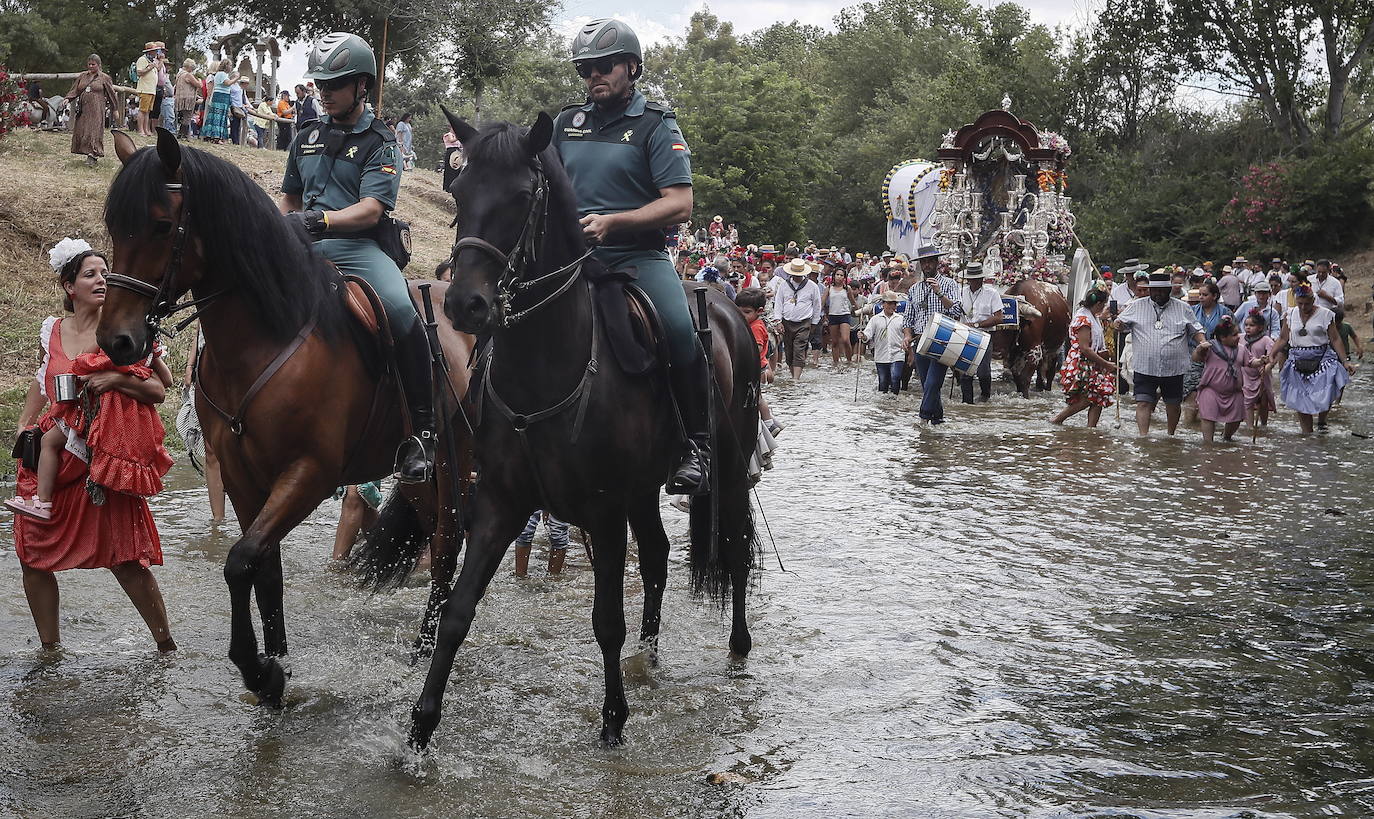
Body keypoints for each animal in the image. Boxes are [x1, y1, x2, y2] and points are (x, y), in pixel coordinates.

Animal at [95, 131, 472, 709]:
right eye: (115, 225)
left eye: (160, 224)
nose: (116, 341)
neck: (264, 340)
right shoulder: (242, 474)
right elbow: (263, 569)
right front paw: (276, 668)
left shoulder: (309, 473)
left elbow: (240, 560)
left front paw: (258, 669)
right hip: (416, 479)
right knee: (435, 537)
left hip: (456, 465)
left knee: (448, 547)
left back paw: (423, 655)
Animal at [359, 111, 758, 753]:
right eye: (458, 191)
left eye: (523, 197)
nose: (466, 305)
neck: (547, 369)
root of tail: (724, 306)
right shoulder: (500, 502)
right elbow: (458, 610)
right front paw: (420, 727)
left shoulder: (603, 509)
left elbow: (606, 622)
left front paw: (614, 721)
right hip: (644, 490)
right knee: (657, 556)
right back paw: (650, 656)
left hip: (728, 463)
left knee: (735, 547)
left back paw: (738, 646)